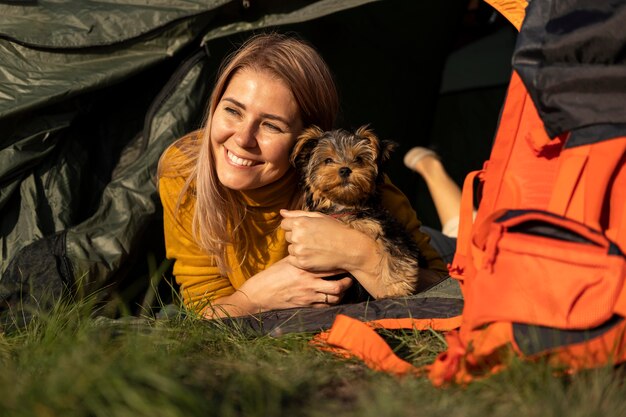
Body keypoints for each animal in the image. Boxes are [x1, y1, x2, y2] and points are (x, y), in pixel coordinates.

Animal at [288, 125, 416, 298]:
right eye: (328, 160)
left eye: (359, 159)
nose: (344, 170)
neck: (343, 205)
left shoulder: (384, 225)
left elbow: (396, 249)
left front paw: (397, 286)